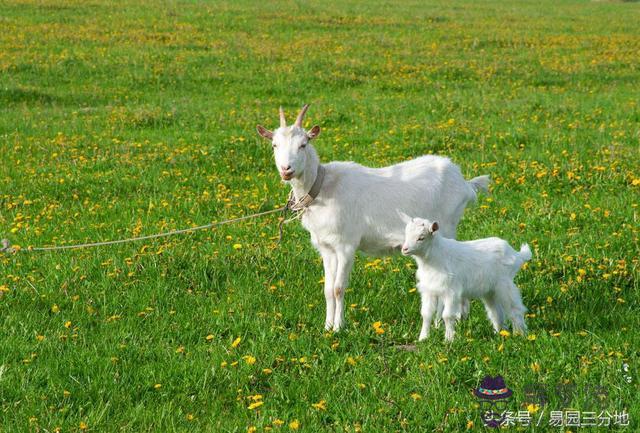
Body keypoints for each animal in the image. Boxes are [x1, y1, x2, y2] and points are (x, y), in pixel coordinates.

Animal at [255, 104, 490, 330]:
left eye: (303, 144)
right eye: (274, 145)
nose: (286, 169)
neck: (322, 188)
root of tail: (464, 182)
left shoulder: (346, 245)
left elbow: (339, 288)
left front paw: (339, 327)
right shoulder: (326, 247)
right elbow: (328, 289)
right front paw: (327, 326)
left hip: (446, 226)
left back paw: (443, 321)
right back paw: (460, 317)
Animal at [400, 213, 528, 340]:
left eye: (421, 237)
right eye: (406, 234)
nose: (404, 249)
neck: (435, 258)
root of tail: (516, 255)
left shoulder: (451, 291)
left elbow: (447, 315)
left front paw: (449, 339)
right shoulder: (429, 290)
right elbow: (426, 314)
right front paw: (423, 338)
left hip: (505, 284)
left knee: (515, 309)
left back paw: (520, 334)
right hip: (490, 290)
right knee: (495, 312)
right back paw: (498, 333)